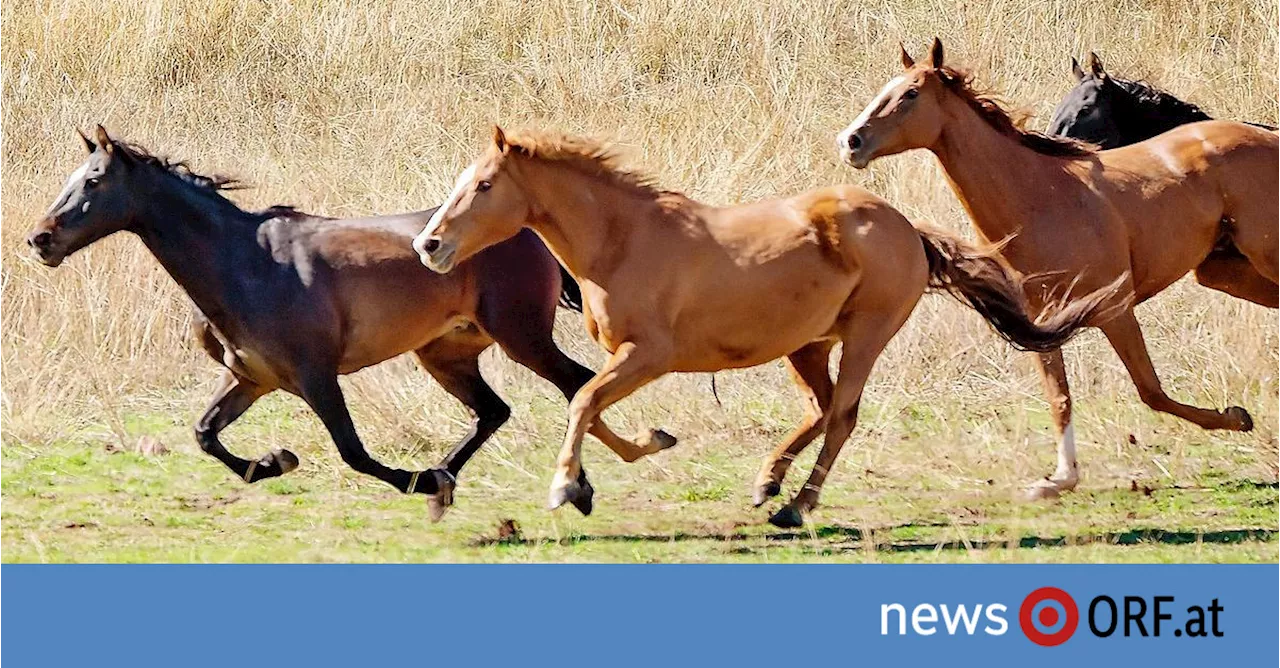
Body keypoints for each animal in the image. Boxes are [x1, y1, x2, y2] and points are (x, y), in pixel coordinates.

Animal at [24, 126, 675, 519]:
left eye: (92, 182)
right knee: (497, 410)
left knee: (578, 387)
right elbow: (206, 434)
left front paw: (419, 481)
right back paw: (455, 480)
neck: (244, 261)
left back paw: (605, 469)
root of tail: (530, 233)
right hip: (446, 354)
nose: (40, 239)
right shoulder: (251, 379)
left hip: (522, 338)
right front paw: (273, 462)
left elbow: (353, 452)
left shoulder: (317, 377)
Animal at [409, 124, 1111, 524]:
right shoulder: (622, 357)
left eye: (485, 185)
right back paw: (767, 483)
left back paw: (796, 506)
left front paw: (563, 487)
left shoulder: (648, 355)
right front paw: (621, 462)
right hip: (807, 346)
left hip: (864, 337)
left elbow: (582, 400)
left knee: (843, 416)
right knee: (822, 409)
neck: (622, 241)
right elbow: (590, 402)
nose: (429, 245)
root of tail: (905, 226)